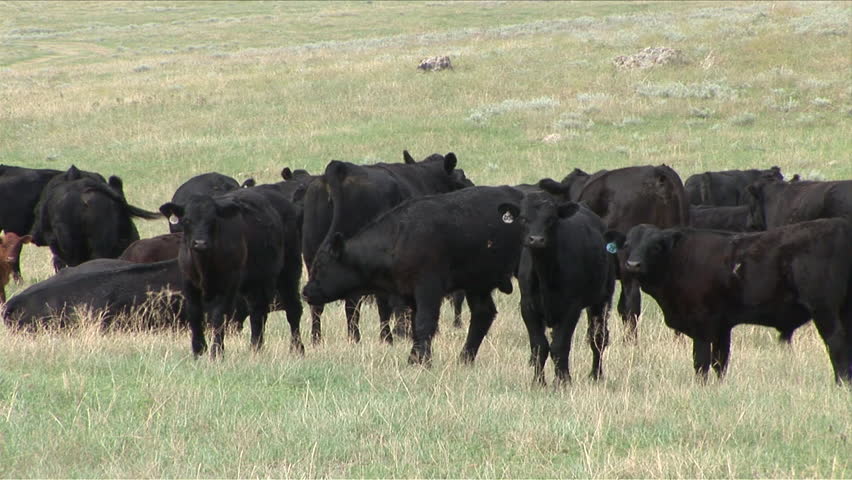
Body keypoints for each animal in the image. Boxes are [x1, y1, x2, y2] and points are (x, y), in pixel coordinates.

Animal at [159, 187, 303, 358]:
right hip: (254, 281)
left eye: (213, 220)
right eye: (187, 220)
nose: (200, 243)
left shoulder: (229, 283)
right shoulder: (189, 282)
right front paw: (198, 350)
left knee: (293, 308)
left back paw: (297, 348)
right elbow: (194, 313)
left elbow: (219, 317)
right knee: (258, 312)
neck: (204, 265)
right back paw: (255, 348)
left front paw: (216, 352)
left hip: (290, 269)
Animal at [301, 150, 472, 345]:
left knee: (321, 304)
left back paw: (319, 339)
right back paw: (381, 337)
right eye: (461, 179)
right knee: (365, 301)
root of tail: (340, 168)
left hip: (312, 253)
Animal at [303, 185, 523, 366]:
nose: (306, 292)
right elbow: (415, 326)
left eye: (321, 266)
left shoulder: (428, 289)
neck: (400, 237)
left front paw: (423, 361)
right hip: (477, 284)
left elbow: (425, 323)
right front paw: (414, 358)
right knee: (483, 314)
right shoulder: (410, 293)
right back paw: (464, 359)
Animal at [497, 194, 615, 385]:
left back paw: (595, 375)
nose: (536, 239)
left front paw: (563, 381)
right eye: (523, 218)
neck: (545, 273)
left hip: (602, 299)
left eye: (551, 219)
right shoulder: (528, 307)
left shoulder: (571, 308)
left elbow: (560, 346)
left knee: (598, 338)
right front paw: (538, 382)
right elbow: (539, 346)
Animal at [604, 219, 852, 384]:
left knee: (837, 342)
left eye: (654, 246)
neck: (678, 261)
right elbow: (719, 362)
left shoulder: (702, 325)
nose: (633, 265)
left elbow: (701, 362)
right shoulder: (722, 326)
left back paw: (840, 382)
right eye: (627, 245)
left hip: (825, 310)